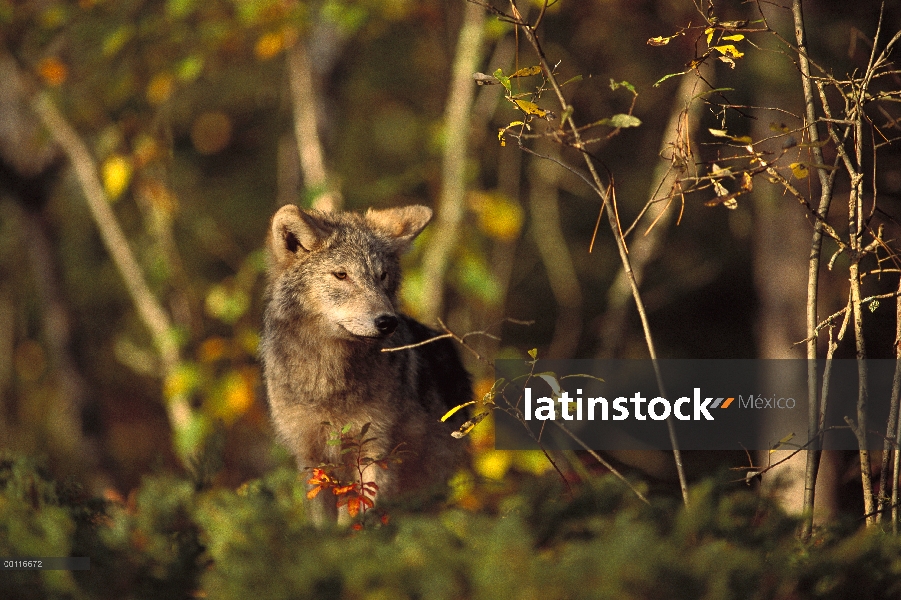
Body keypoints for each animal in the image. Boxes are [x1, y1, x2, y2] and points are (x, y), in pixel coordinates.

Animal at [258, 203, 472, 520]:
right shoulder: (311, 457)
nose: (387, 322)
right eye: (341, 275)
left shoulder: (375, 452)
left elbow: (364, 519)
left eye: (382, 276)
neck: (329, 380)